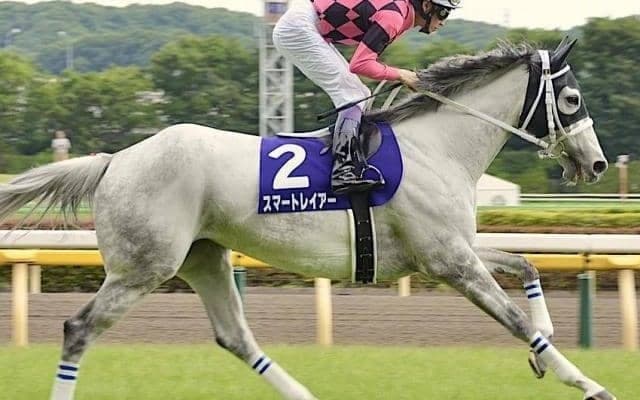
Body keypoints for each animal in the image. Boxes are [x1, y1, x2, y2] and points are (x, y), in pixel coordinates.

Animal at [0, 39, 616, 400]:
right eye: (571, 99)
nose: (597, 163)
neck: (436, 146)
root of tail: (114, 160)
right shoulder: (450, 261)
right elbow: (514, 319)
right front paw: (587, 383)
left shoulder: (450, 251)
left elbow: (527, 262)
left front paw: (546, 342)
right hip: (143, 267)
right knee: (79, 329)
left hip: (203, 258)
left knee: (236, 337)